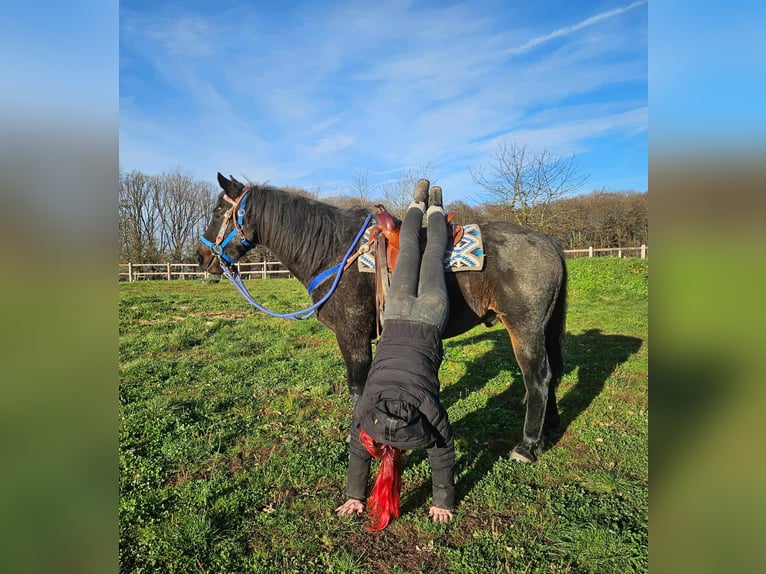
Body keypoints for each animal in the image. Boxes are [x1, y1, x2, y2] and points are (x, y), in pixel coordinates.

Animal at [197, 173, 567, 463]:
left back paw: (526, 445)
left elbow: (357, 387)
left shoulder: (353, 335)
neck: (333, 253)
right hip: (546, 329)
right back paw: (549, 428)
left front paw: (356, 436)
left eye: (218, 211)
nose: (200, 257)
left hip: (525, 329)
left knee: (537, 379)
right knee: (553, 373)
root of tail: (549, 241)